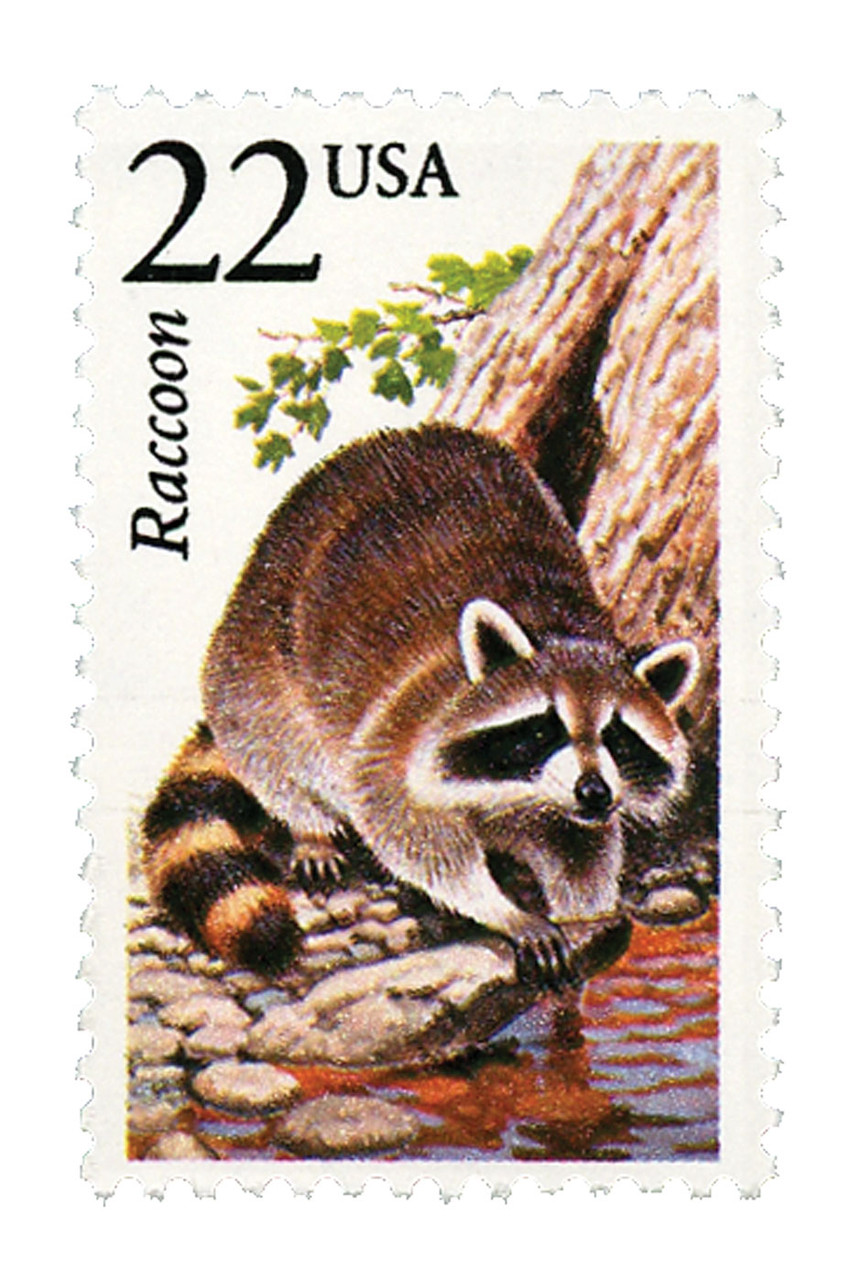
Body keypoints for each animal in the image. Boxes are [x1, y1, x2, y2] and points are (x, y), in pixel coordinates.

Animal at [142, 424, 698, 987]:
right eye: (546, 728)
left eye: (617, 735)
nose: (594, 791)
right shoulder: (400, 727)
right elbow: (409, 829)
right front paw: (503, 910)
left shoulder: (569, 806)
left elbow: (581, 849)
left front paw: (589, 909)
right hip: (255, 651)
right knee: (267, 743)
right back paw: (308, 823)